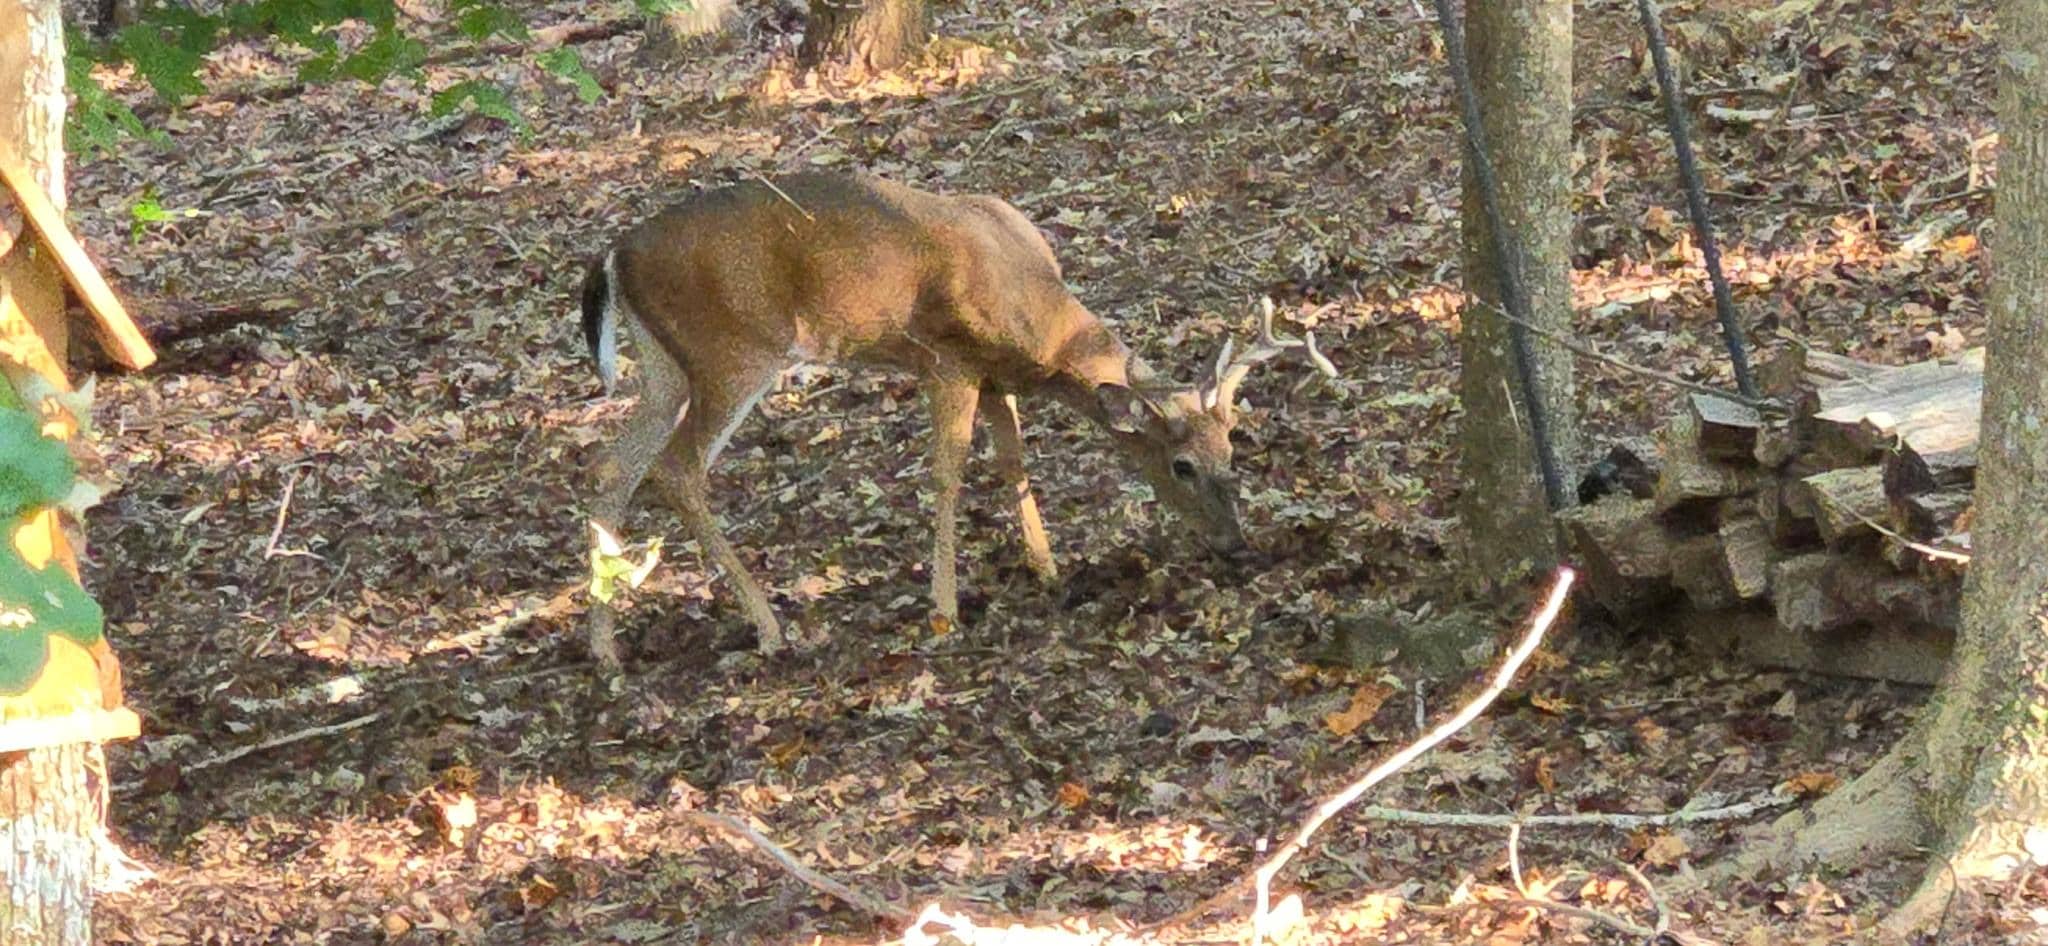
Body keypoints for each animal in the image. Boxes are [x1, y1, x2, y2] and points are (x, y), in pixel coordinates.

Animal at [577, 172, 1333, 667]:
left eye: (1233, 450)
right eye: (1182, 465)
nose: (1236, 544)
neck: (1033, 314)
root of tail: (612, 256)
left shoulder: (997, 377)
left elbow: (1013, 461)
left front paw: (1047, 569)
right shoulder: (948, 363)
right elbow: (949, 472)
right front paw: (944, 607)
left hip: (666, 367)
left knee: (611, 467)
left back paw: (606, 652)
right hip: (731, 350)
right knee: (676, 469)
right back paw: (769, 628)